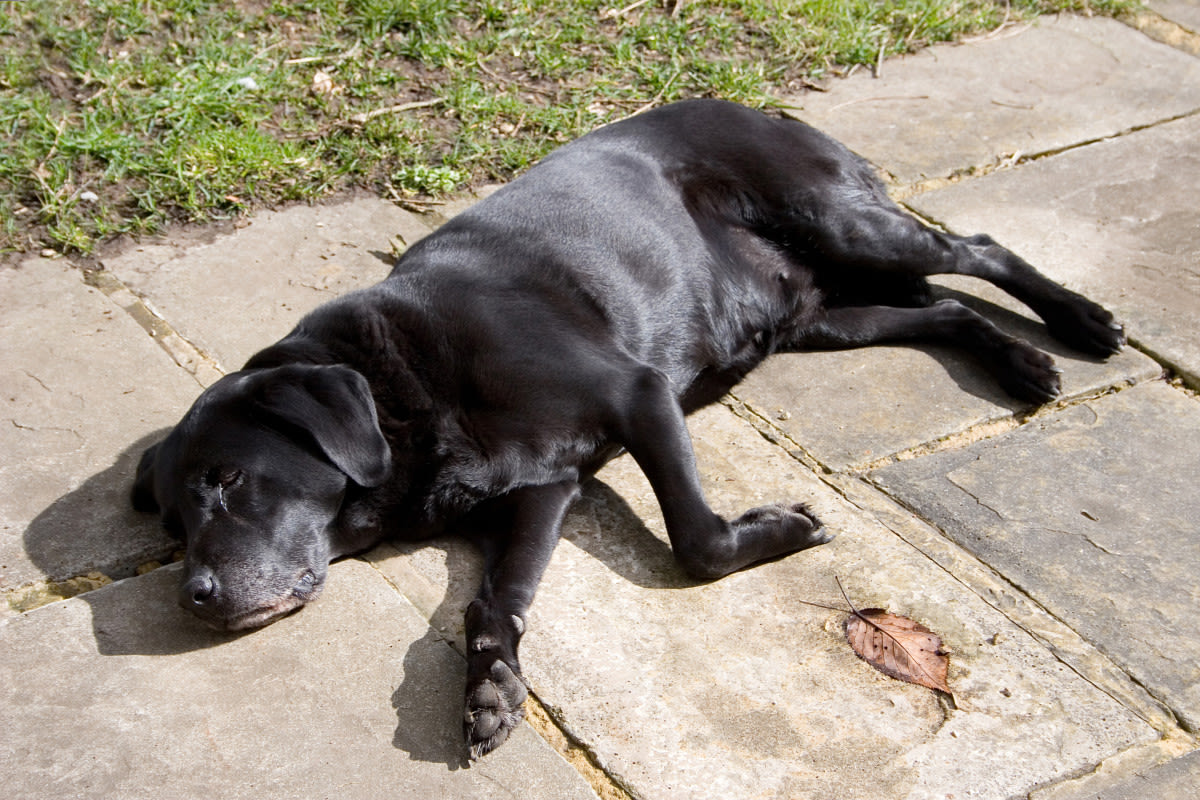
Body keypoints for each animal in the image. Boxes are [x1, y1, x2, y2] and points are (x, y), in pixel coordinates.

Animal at [131, 98, 1123, 758]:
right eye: (174, 523)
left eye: (226, 480)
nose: (195, 598)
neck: (399, 387)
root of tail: (756, 103)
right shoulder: (543, 491)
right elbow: (494, 599)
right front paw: (491, 687)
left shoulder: (638, 394)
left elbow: (697, 542)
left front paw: (780, 530)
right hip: (822, 318)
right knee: (943, 309)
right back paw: (1020, 363)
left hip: (847, 225)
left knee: (977, 251)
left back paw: (1079, 325)